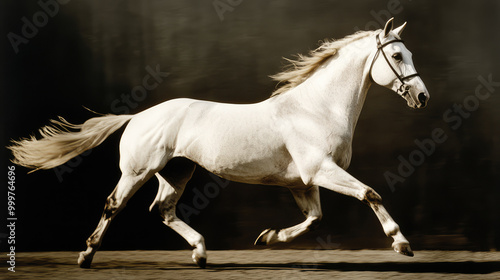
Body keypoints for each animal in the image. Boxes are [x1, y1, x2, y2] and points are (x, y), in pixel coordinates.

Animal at [8, 18, 430, 268]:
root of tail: (137, 116)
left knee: (162, 209)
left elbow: (314, 219)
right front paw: (401, 243)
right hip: (138, 170)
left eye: (409, 53)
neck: (316, 108)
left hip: (177, 172)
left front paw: (266, 238)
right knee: (114, 205)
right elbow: (370, 194)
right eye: (396, 55)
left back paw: (200, 252)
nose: (423, 97)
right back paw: (85, 255)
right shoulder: (321, 171)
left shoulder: (303, 182)